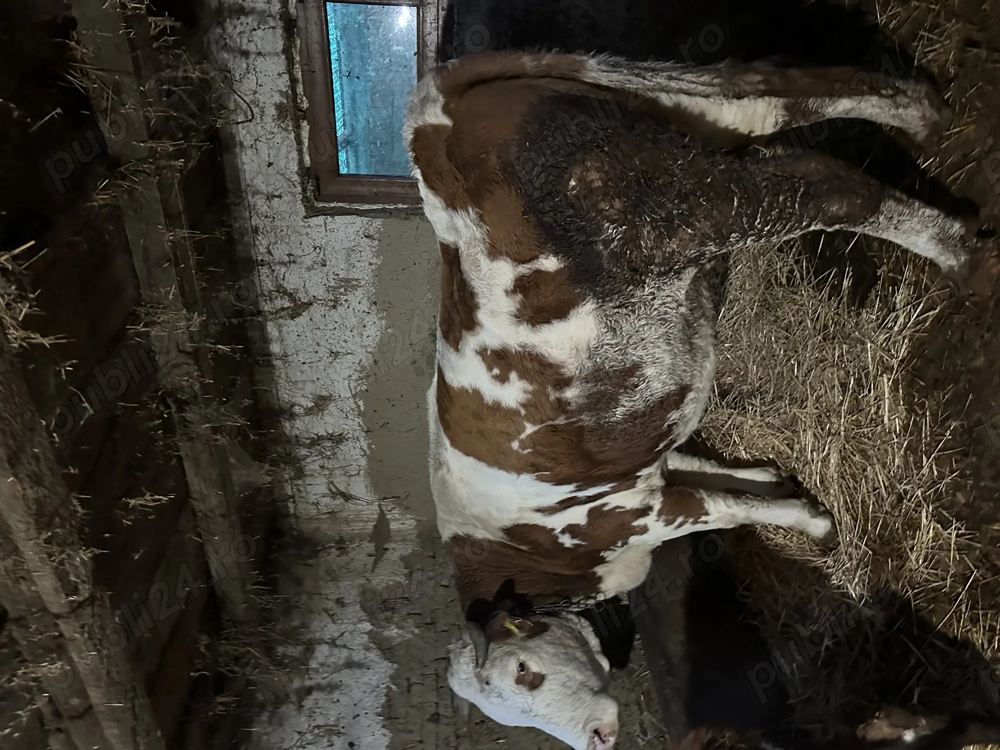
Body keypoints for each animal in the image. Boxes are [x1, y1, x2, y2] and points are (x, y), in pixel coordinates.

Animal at [403, 50, 998, 750]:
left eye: (525, 673)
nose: (599, 737)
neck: (527, 555)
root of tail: (439, 118)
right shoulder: (646, 472)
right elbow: (725, 477)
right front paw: (782, 486)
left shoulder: (634, 513)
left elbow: (721, 510)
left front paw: (812, 524)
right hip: (662, 111)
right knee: (778, 90)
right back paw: (924, 116)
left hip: (657, 212)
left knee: (822, 182)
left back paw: (961, 251)